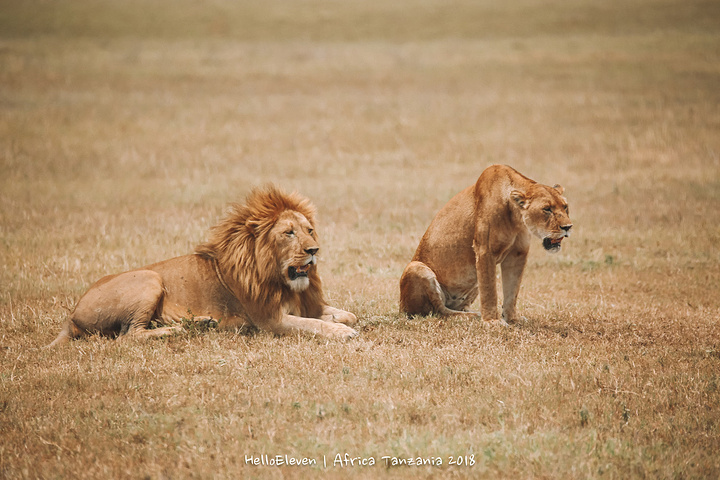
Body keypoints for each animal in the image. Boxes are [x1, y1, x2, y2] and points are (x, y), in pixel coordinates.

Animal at [47, 183, 358, 344]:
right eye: (288, 232)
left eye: (309, 230)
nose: (314, 249)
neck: (281, 280)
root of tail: (71, 316)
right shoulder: (270, 320)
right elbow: (313, 326)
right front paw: (343, 332)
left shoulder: (305, 305)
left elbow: (345, 314)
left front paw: (342, 321)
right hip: (150, 278)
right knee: (130, 336)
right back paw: (181, 330)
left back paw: (201, 323)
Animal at [400, 165, 572, 326]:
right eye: (547, 209)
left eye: (565, 207)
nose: (568, 227)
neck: (516, 218)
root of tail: (401, 308)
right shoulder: (485, 251)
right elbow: (490, 290)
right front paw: (492, 321)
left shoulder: (518, 254)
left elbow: (512, 291)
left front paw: (512, 319)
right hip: (416, 267)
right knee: (439, 311)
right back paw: (474, 316)